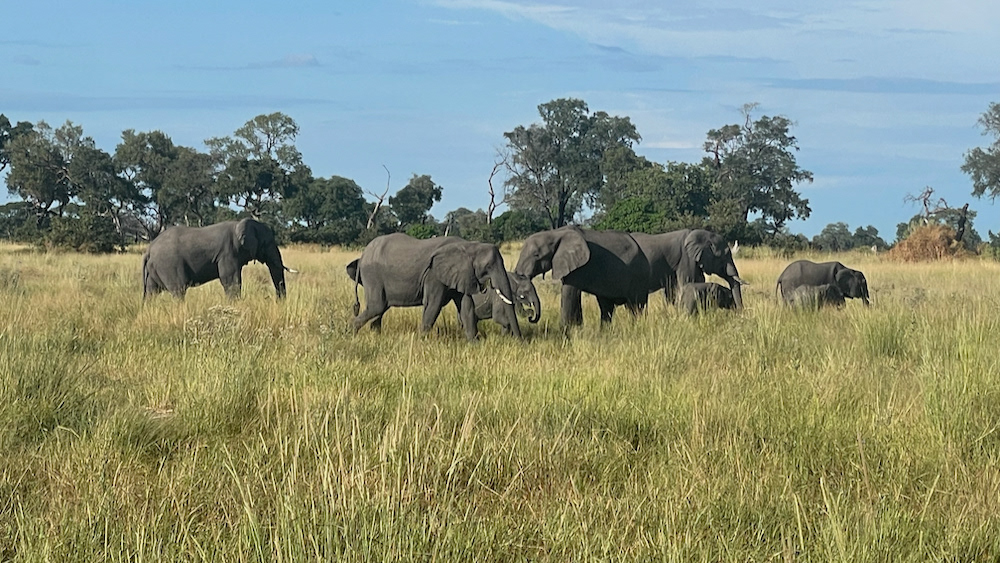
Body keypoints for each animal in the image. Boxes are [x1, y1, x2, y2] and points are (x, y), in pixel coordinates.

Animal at [142, 218, 292, 300]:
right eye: (268, 242)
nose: (277, 302)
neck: (239, 224)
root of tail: (149, 249)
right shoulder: (227, 253)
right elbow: (230, 281)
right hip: (169, 265)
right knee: (179, 290)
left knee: (151, 292)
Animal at [346, 233, 523, 341]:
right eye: (488, 267)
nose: (521, 342)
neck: (468, 245)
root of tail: (363, 255)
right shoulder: (434, 275)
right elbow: (433, 305)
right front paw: (421, 342)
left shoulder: (460, 274)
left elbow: (466, 306)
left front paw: (475, 343)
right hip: (373, 275)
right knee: (377, 306)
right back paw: (350, 333)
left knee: (380, 309)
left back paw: (375, 336)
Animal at [513, 226, 650, 326]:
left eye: (536, 255)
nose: (530, 317)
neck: (555, 233)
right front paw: (577, 328)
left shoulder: (579, 267)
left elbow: (569, 293)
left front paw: (565, 331)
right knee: (607, 307)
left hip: (639, 275)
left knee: (636, 307)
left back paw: (637, 328)